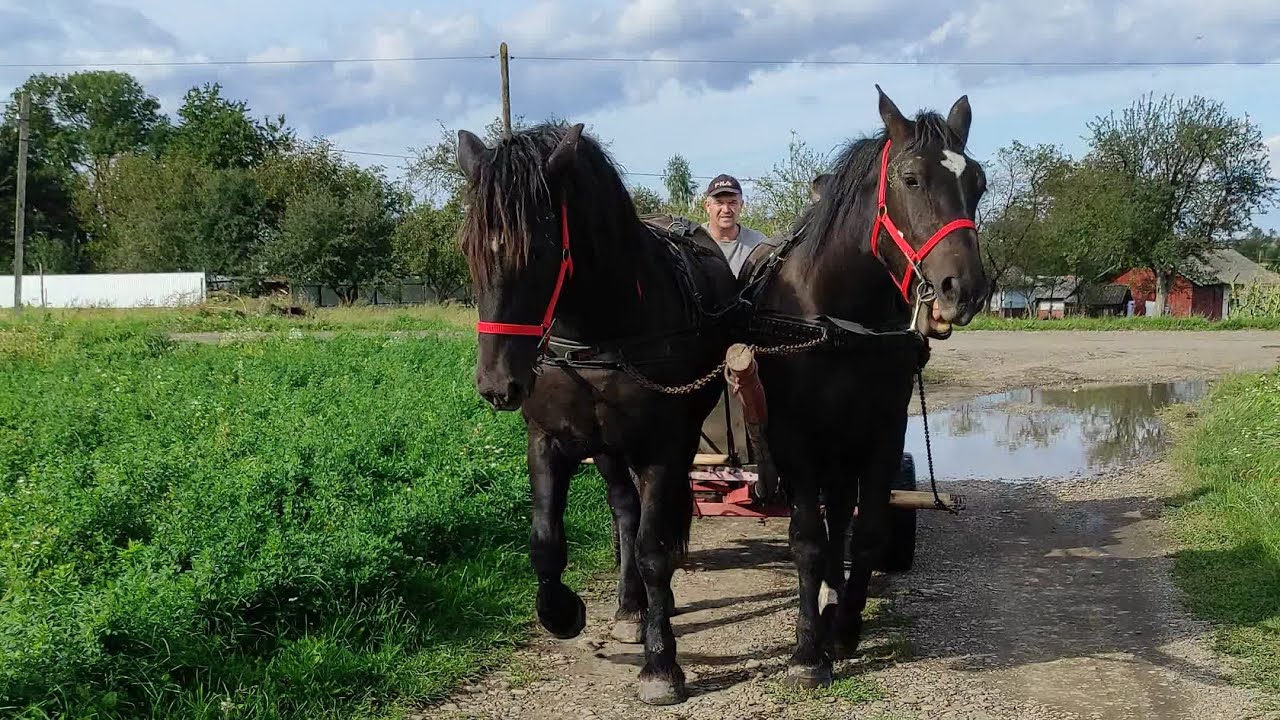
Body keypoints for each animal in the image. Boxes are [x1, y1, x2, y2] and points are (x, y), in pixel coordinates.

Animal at [454, 120, 741, 705]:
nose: (497, 385)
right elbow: (546, 541)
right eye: (468, 248)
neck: (599, 335)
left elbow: (655, 549)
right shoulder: (548, 441)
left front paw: (661, 665)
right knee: (625, 512)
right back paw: (633, 608)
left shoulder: (663, 449)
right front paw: (562, 613)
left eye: (540, 250)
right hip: (607, 448)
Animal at [737, 85, 988, 688]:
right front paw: (807, 651)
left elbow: (868, 531)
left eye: (979, 183)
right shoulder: (795, 438)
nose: (965, 288)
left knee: (841, 517)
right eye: (911, 178)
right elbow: (807, 539)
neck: (836, 318)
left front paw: (844, 630)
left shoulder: (882, 430)